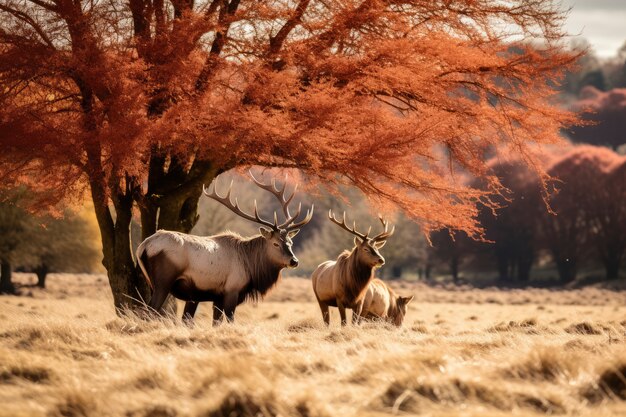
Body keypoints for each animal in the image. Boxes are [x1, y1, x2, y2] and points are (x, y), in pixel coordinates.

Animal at [136, 171, 312, 324]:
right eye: (275, 243)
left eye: (290, 242)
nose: (294, 261)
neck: (251, 267)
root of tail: (143, 245)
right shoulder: (232, 290)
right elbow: (230, 320)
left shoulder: (214, 297)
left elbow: (215, 322)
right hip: (163, 281)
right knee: (149, 311)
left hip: (152, 283)